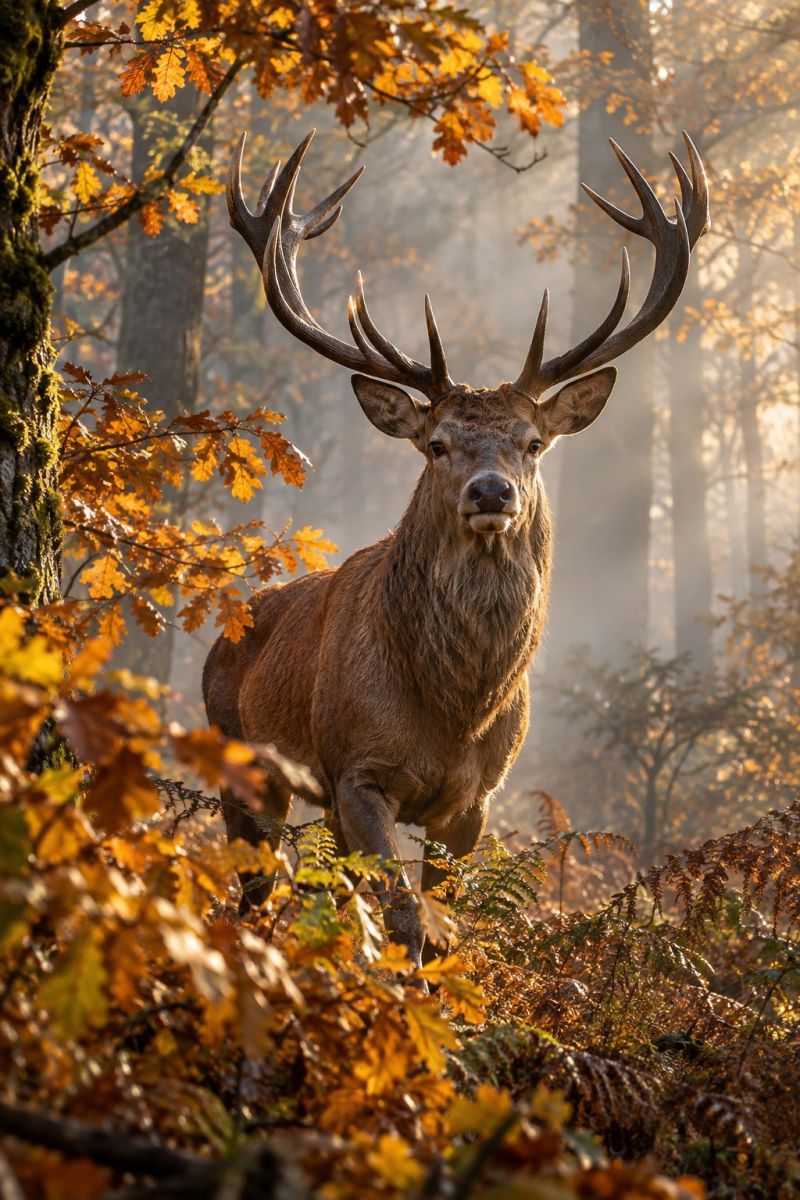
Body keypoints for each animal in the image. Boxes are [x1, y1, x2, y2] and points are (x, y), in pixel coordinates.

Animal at [203, 129, 709, 966]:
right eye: (437, 444)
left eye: (532, 442)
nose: (491, 492)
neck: (456, 710)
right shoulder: (357, 770)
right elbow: (406, 916)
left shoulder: (475, 800)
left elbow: (442, 923)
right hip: (238, 756)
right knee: (254, 885)